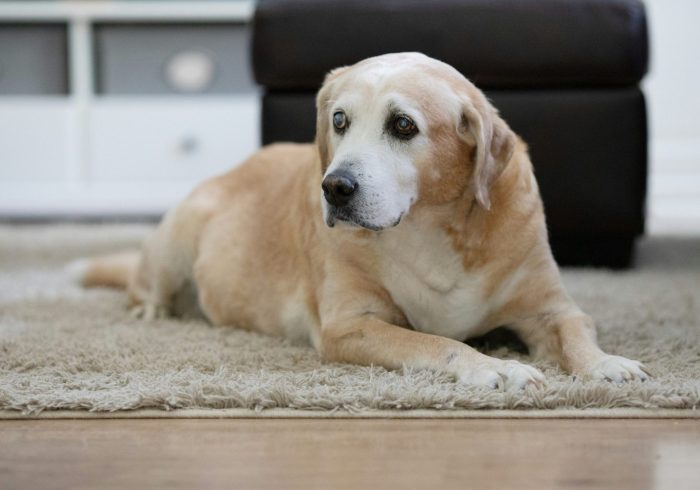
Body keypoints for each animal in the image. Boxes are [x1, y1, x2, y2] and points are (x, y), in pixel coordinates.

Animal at [75, 52, 644, 390]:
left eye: (403, 125)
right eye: (339, 120)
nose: (335, 187)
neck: (427, 229)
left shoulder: (551, 308)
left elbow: (576, 331)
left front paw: (606, 363)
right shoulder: (350, 325)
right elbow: (439, 343)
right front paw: (496, 366)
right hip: (179, 234)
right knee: (145, 284)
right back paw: (152, 309)